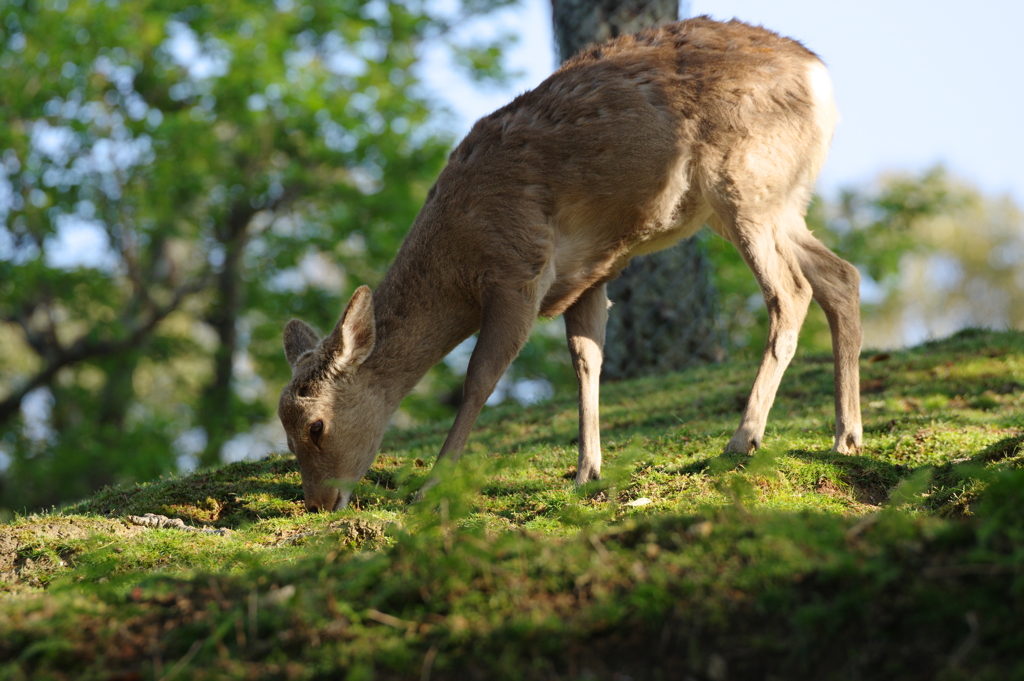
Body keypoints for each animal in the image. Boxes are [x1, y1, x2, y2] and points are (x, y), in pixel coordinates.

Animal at [278, 15, 864, 509]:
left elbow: (479, 378)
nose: (319, 503)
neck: (458, 261)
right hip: (778, 197)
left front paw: (431, 488)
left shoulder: (520, 269)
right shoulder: (589, 273)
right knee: (841, 276)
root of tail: (821, 78)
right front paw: (587, 472)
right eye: (284, 430)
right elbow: (587, 358)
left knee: (790, 293)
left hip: (744, 182)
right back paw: (847, 437)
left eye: (315, 426)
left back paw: (743, 439)